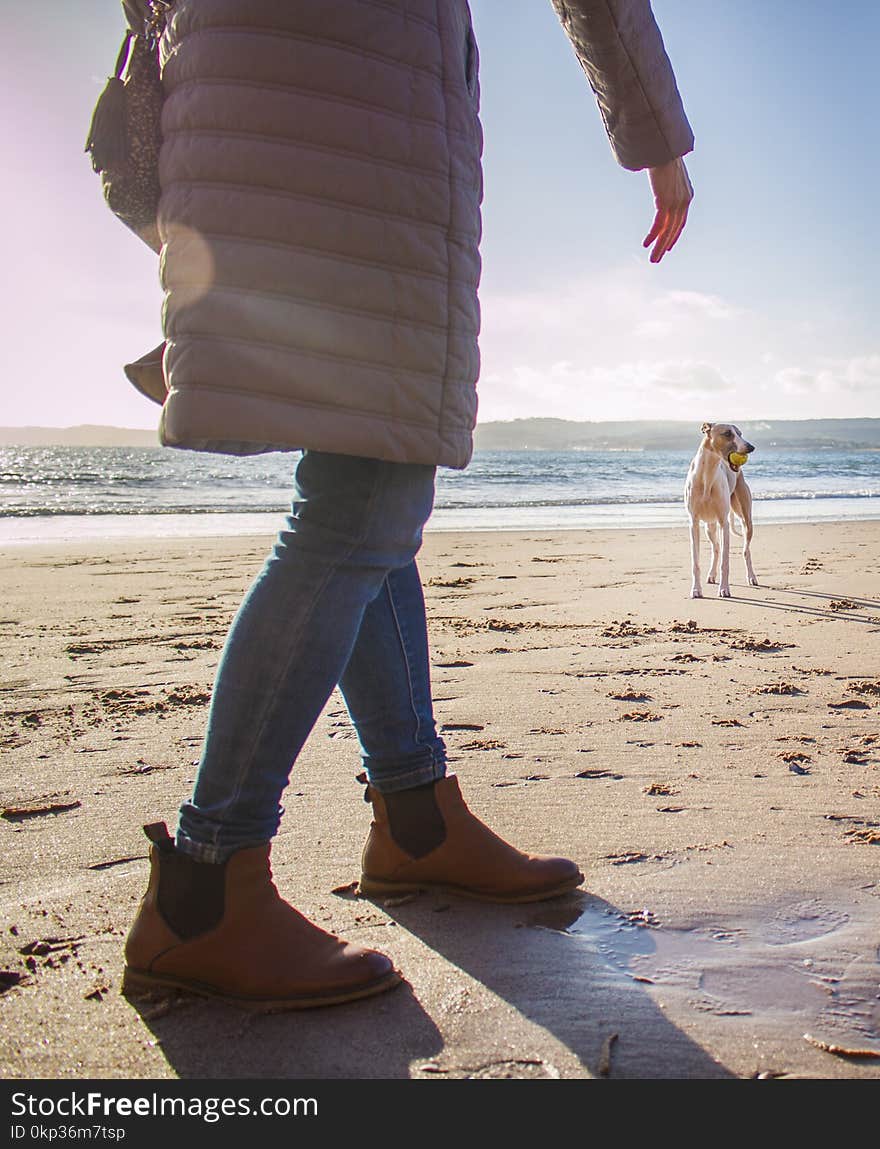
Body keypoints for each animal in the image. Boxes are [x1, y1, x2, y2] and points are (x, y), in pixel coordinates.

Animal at [689, 422, 758, 602]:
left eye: (740, 433)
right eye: (727, 433)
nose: (751, 447)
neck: (707, 475)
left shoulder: (723, 522)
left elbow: (725, 562)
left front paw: (724, 589)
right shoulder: (694, 523)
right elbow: (696, 562)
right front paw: (696, 590)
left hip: (746, 520)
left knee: (746, 550)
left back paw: (752, 577)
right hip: (709, 527)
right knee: (716, 548)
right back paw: (711, 575)